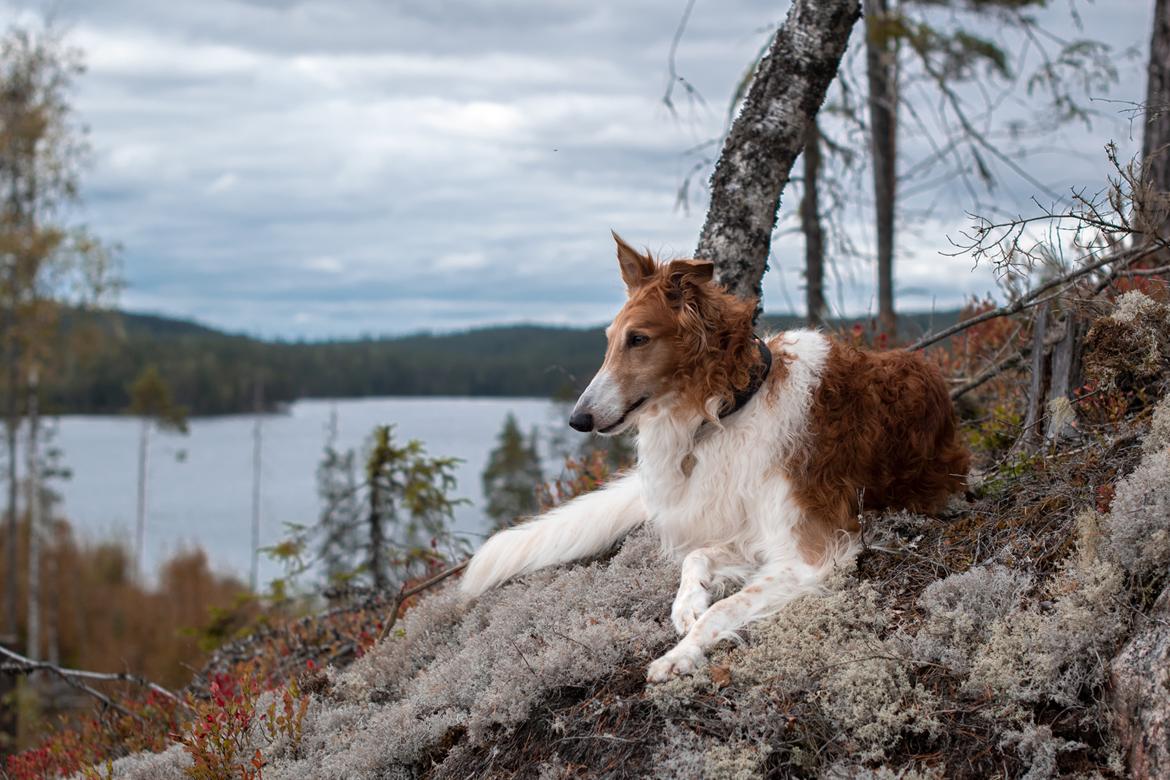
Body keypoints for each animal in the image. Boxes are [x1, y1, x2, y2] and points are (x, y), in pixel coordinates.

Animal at [458, 235, 968, 678]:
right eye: (610, 338)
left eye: (638, 339)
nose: (577, 420)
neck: (733, 405)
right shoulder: (747, 530)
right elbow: (697, 558)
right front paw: (687, 604)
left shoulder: (811, 551)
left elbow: (727, 606)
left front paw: (680, 654)